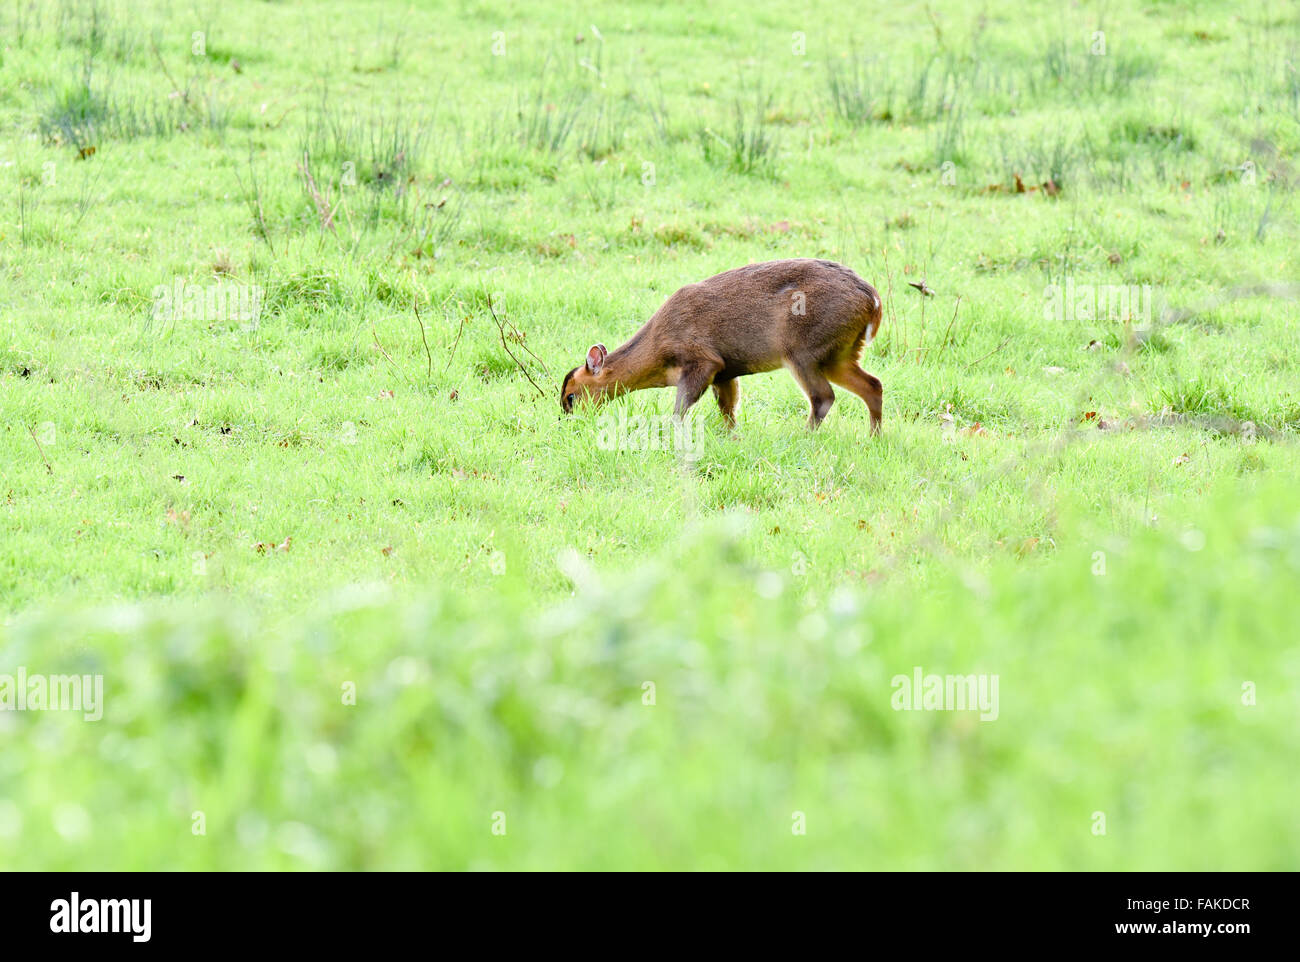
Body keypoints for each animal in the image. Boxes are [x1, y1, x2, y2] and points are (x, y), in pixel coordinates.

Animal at [559, 258, 883, 431]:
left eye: (570, 397)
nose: (568, 423)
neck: (658, 352)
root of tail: (873, 301)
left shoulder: (703, 360)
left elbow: (680, 409)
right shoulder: (726, 372)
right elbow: (728, 411)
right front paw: (733, 438)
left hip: (803, 350)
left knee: (823, 397)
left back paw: (802, 436)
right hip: (840, 354)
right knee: (873, 385)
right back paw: (874, 437)